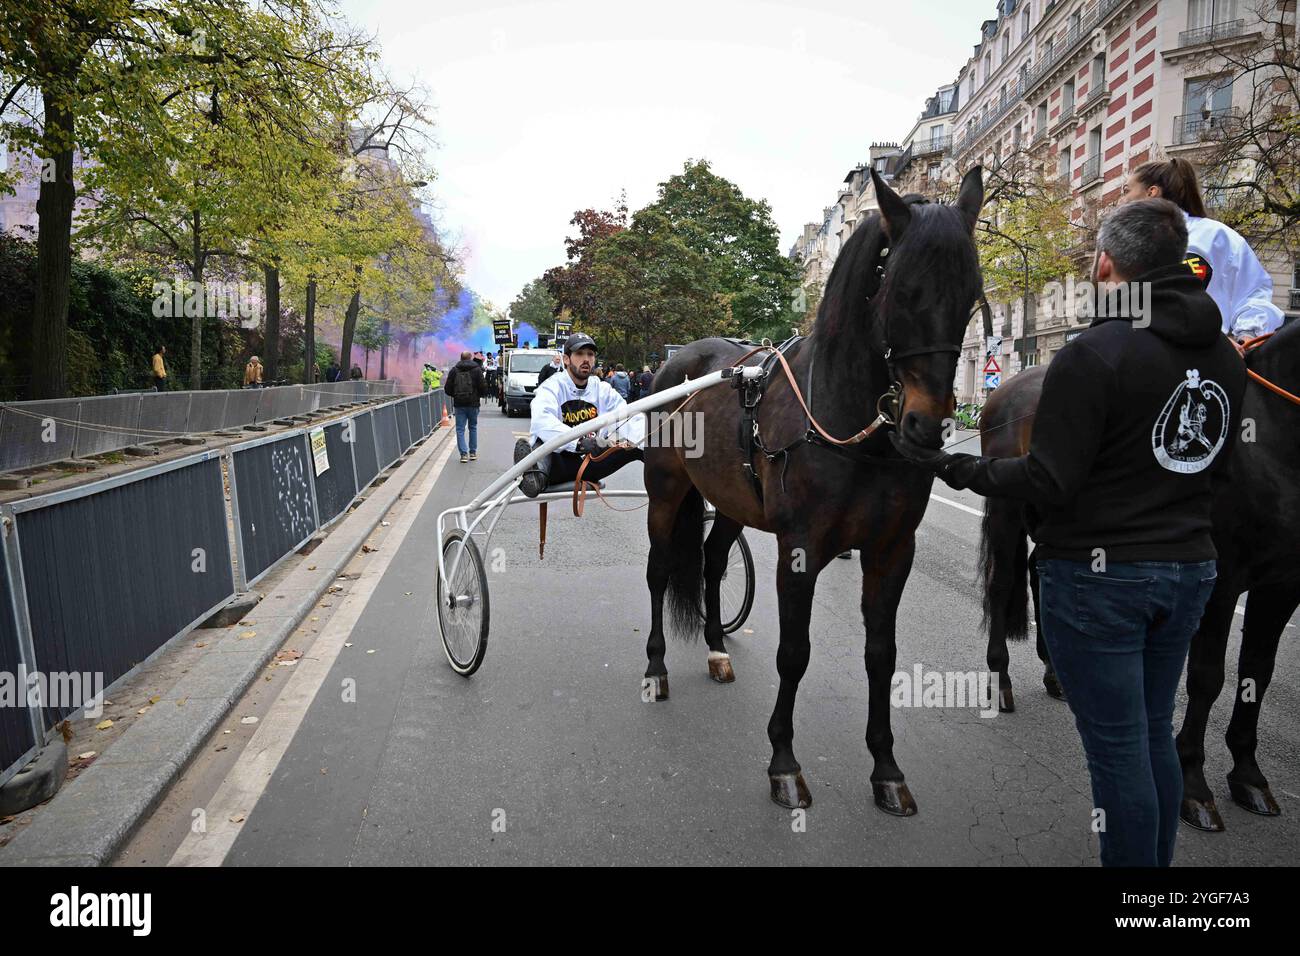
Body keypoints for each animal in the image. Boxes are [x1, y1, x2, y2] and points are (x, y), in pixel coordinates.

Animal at [639, 166, 982, 816]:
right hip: (665, 493)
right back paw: (655, 667)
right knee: (659, 571)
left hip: (731, 501)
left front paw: (885, 767)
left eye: (972, 294)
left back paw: (717, 648)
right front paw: (783, 761)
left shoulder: (892, 552)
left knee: (713, 561)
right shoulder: (798, 551)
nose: (926, 427)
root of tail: (678, 362)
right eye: (900, 291)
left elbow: (882, 655)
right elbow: (793, 654)